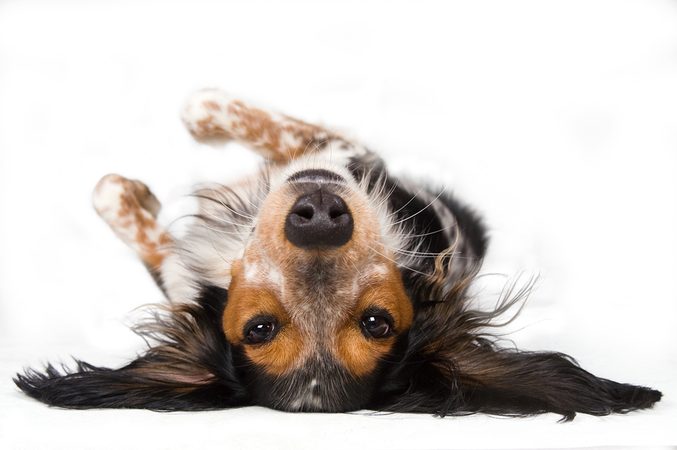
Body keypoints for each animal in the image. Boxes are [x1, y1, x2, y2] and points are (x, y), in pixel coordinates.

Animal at [13, 89, 664, 420]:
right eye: (259, 328)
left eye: (378, 322)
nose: (321, 216)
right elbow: (138, 219)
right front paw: (140, 196)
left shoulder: (345, 152)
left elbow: (198, 111)